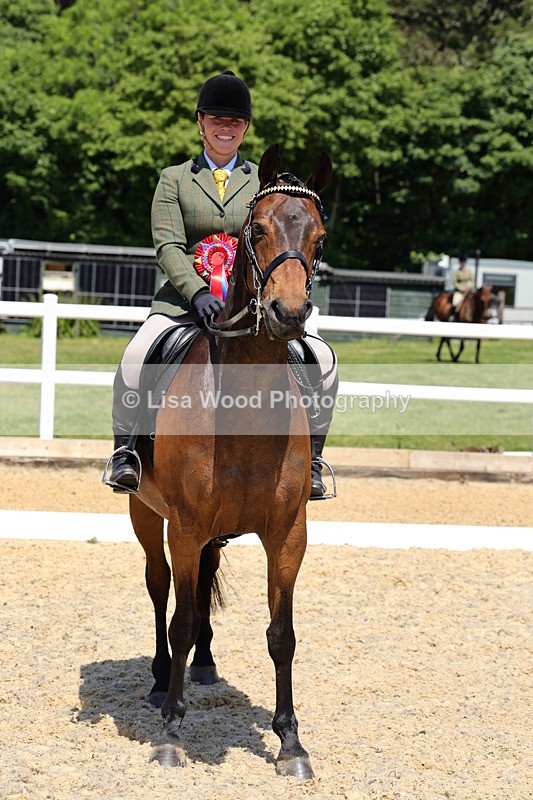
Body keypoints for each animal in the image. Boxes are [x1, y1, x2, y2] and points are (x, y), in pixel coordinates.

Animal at [127, 145, 332, 779]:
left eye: (318, 235)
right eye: (257, 229)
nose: (289, 313)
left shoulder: (289, 532)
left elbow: (282, 633)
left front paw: (291, 743)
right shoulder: (186, 526)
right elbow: (182, 619)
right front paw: (171, 733)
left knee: (201, 586)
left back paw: (204, 668)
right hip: (147, 516)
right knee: (161, 587)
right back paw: (161, 681)